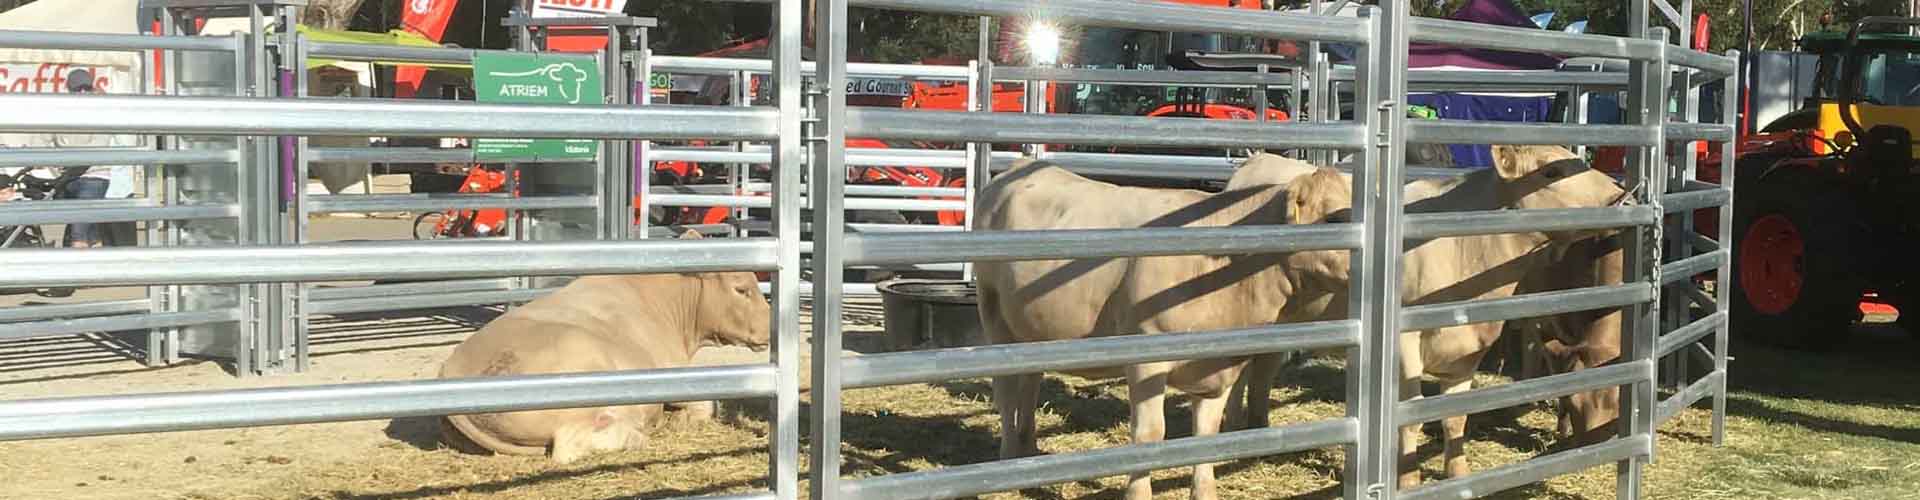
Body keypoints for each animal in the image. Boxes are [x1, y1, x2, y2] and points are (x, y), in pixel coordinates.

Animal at [439, 232, 768, 463]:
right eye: (741, 289)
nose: (769, 324)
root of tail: (452, 367)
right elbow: (708, 404)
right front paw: (680, 420)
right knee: (569, 446)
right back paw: (637, 434)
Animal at [975, 155, 1305, 500]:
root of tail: (1020, 167)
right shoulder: (1147, 357)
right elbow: (1149, 434)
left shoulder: (1219, 366)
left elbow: (1206, 434)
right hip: (993, 314)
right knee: (1006, 391)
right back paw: (1008, 460)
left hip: (1031, 329)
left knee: (1029, 383)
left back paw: (1028, 453)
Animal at [1282, 145, 1628, 488]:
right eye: (1551, 171)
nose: (1620, 193)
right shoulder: (1405, 345)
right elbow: (1410, 417)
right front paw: (1408, 479)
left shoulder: (1469, 350)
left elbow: (1455, 415)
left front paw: (1458, 475)